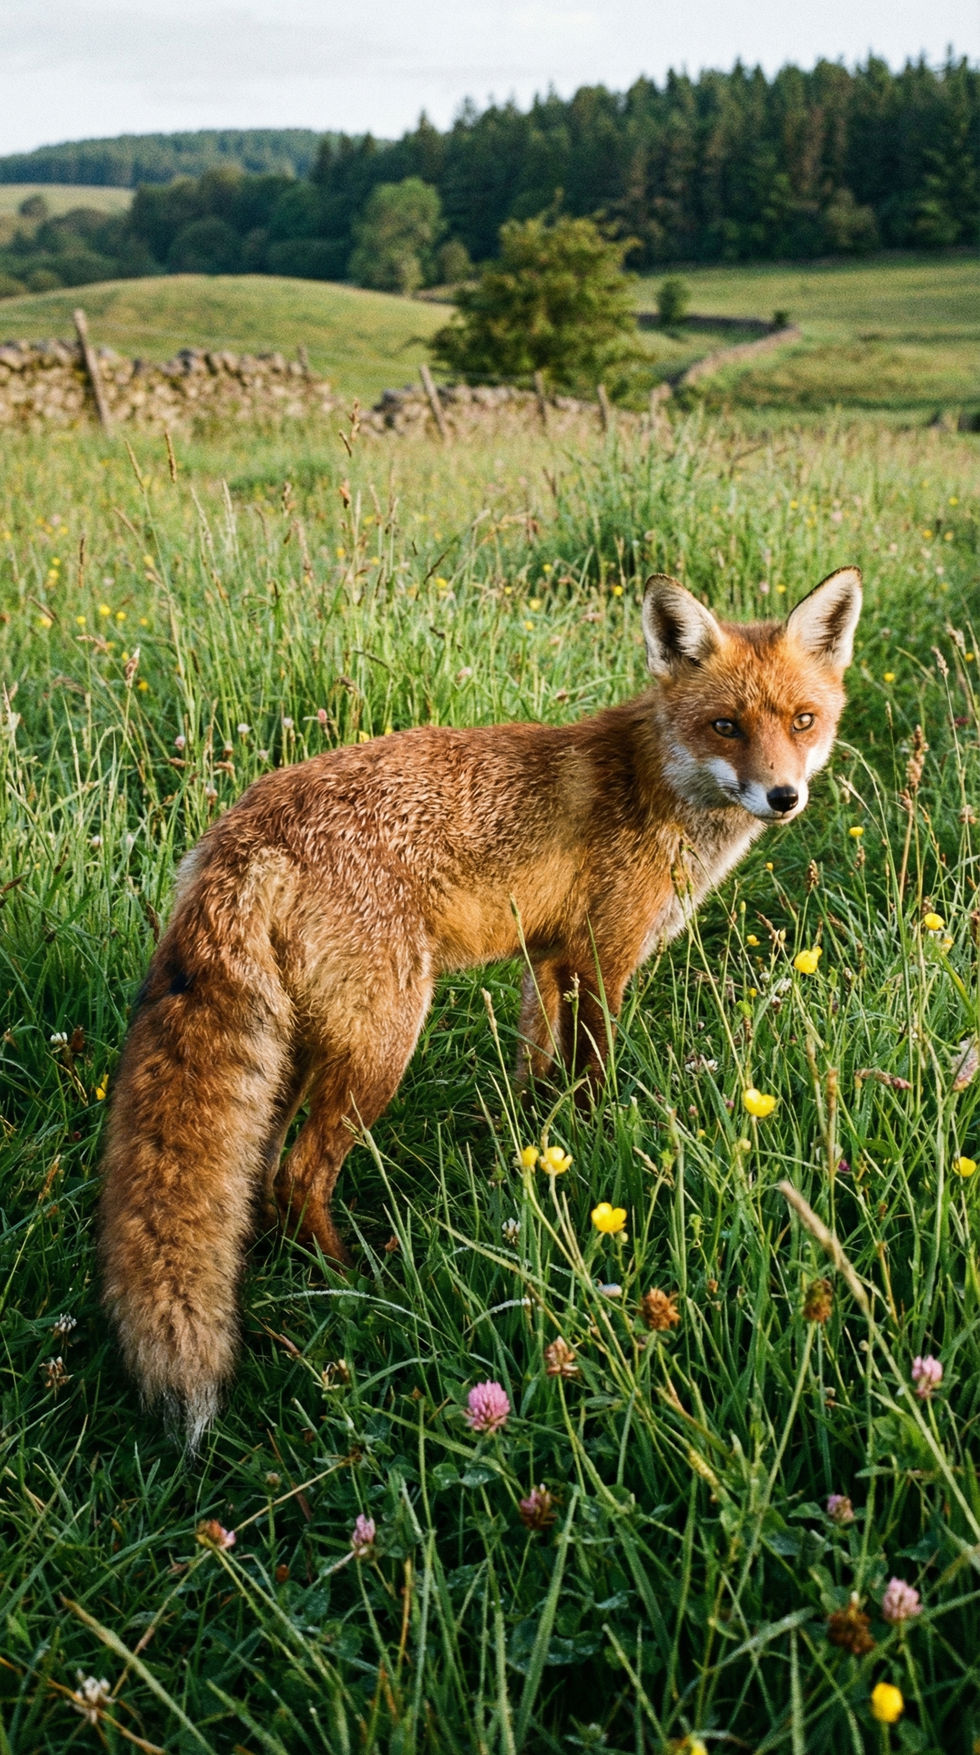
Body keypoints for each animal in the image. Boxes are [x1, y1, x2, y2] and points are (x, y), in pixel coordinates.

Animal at [100, 566, 861, 1447]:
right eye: (726, 726)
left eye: (803, 720)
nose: (784, 795)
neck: (655, 784)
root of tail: (243, 830)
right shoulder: (602, 959)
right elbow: (593, 1076)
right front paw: (596, 1144)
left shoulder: (547, 961)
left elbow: (539, 1073)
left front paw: (536, 1148)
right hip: (384, 1042)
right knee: (299, 1175)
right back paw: (360, 1284)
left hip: (298, 1049)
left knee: (258, 1173)